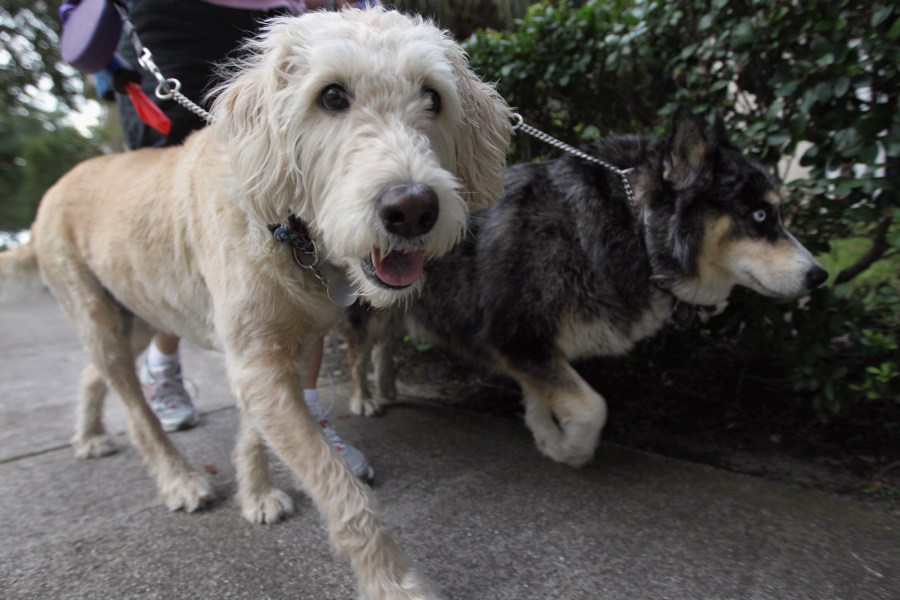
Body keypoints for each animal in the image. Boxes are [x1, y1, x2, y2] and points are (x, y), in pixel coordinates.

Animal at [0, 9, 510, 600]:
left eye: (433, 98)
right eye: (331, 96)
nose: (411, 209)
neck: (286, 226)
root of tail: (53, 191)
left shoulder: (274, 355)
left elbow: (254, 431)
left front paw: (257, 494)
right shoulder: (255, 360)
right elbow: (339, 488)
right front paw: (393, 583)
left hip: (135, 309)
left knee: (91, 374)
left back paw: (89, 437)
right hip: (97, 314)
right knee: (133, 408)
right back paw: (179, 479)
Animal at [348, 109, 828, 468]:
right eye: (760, 216)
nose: (819, 275)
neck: (636, 226)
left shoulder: (531, 345)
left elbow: (542, 396)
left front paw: (546, 436)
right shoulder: (517, 335)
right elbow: (592, 407)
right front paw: (571, 449)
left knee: (387, 344)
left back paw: (387, 388)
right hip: (365, 308)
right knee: (359, 350)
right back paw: (363, 399)